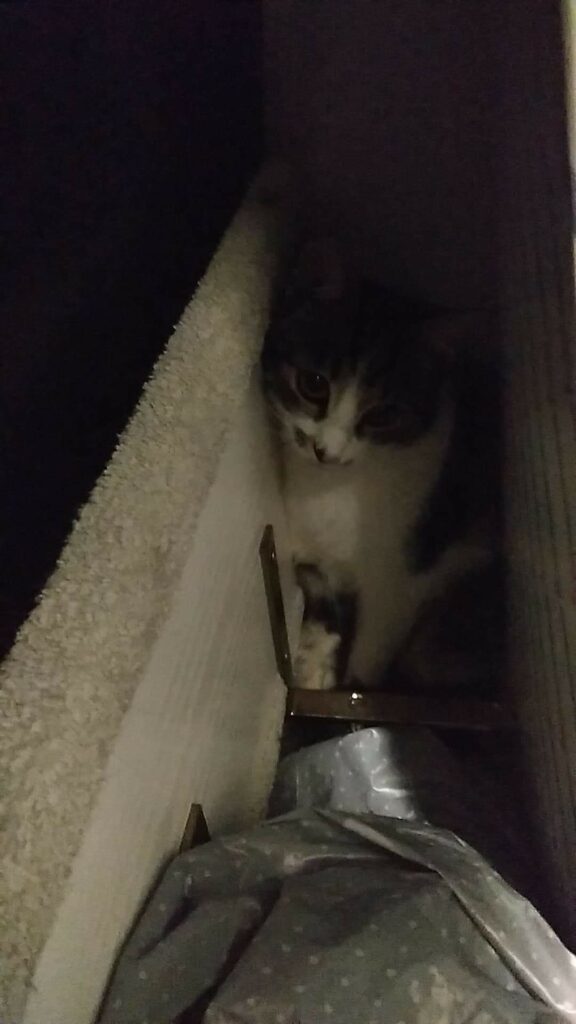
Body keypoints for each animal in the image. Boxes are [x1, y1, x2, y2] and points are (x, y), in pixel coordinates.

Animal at [261, 239, 502, 691]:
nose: (326, 451)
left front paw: (349, 684)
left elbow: (369, 654)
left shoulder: (402, 583)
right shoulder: (321, 562)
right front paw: (315, 662)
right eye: (313, 384)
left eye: (382, 415)